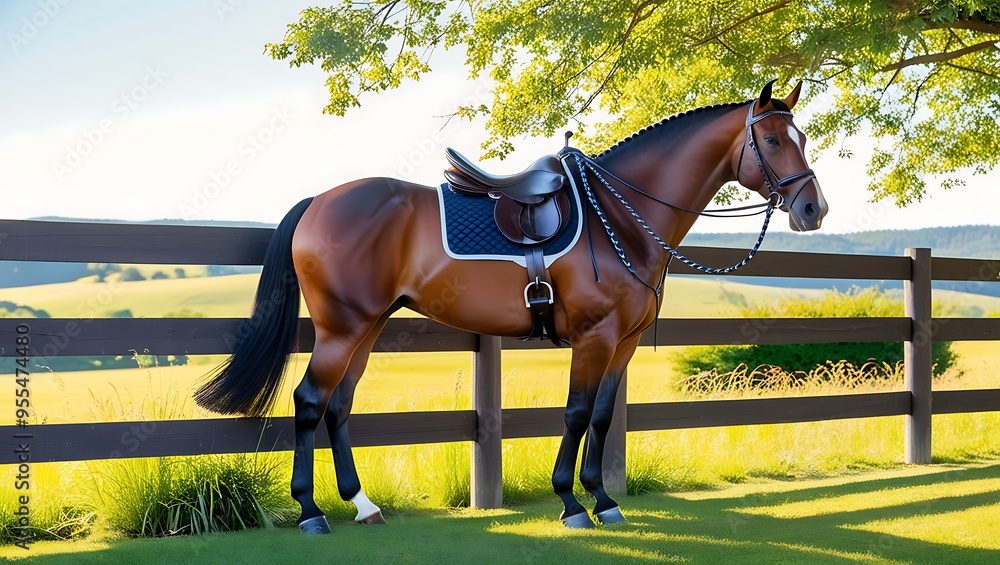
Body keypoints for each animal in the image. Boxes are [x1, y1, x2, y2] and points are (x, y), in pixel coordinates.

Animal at [194, 81, 829, 533]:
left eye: (799, 138)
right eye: (774, 141)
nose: (813, 209)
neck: (616, 217)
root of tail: (320, 201)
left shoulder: (622, 343)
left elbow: (602, 417)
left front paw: (603, 499)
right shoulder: (594, 338)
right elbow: (576, 414)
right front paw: (571, 503)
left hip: (367, 327)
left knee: (339, 405)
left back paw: (363, 505)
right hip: (340, 327)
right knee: (308, 401)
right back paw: (311, 513)